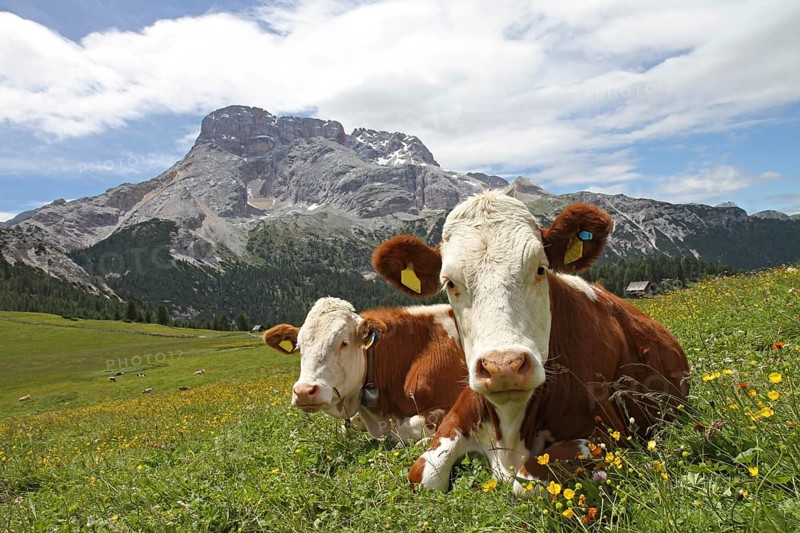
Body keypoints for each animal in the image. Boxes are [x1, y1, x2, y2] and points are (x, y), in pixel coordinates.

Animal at [372, 191, 689, 495]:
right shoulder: (457, 418)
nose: (503, 366)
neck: (511, 430)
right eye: (449, 282)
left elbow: (528, 479)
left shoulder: (611, 434)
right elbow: (422, 475)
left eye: (540, 269)